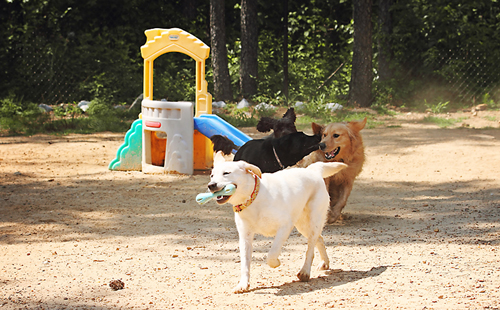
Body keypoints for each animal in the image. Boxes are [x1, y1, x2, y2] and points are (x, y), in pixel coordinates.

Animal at [206, 153, 344, 294]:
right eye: (212, 175)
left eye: (226, 173)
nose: (211, 185)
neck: (254, 199)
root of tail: (312, 171)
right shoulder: (245, 236)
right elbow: (245, 263)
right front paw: (243, 284)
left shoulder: (285, 227)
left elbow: (272, 254)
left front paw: (276, 263)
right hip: (303, 225)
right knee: (319, 239)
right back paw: (324, 263)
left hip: (313, 220)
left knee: (310, 248)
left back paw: (305, 271)